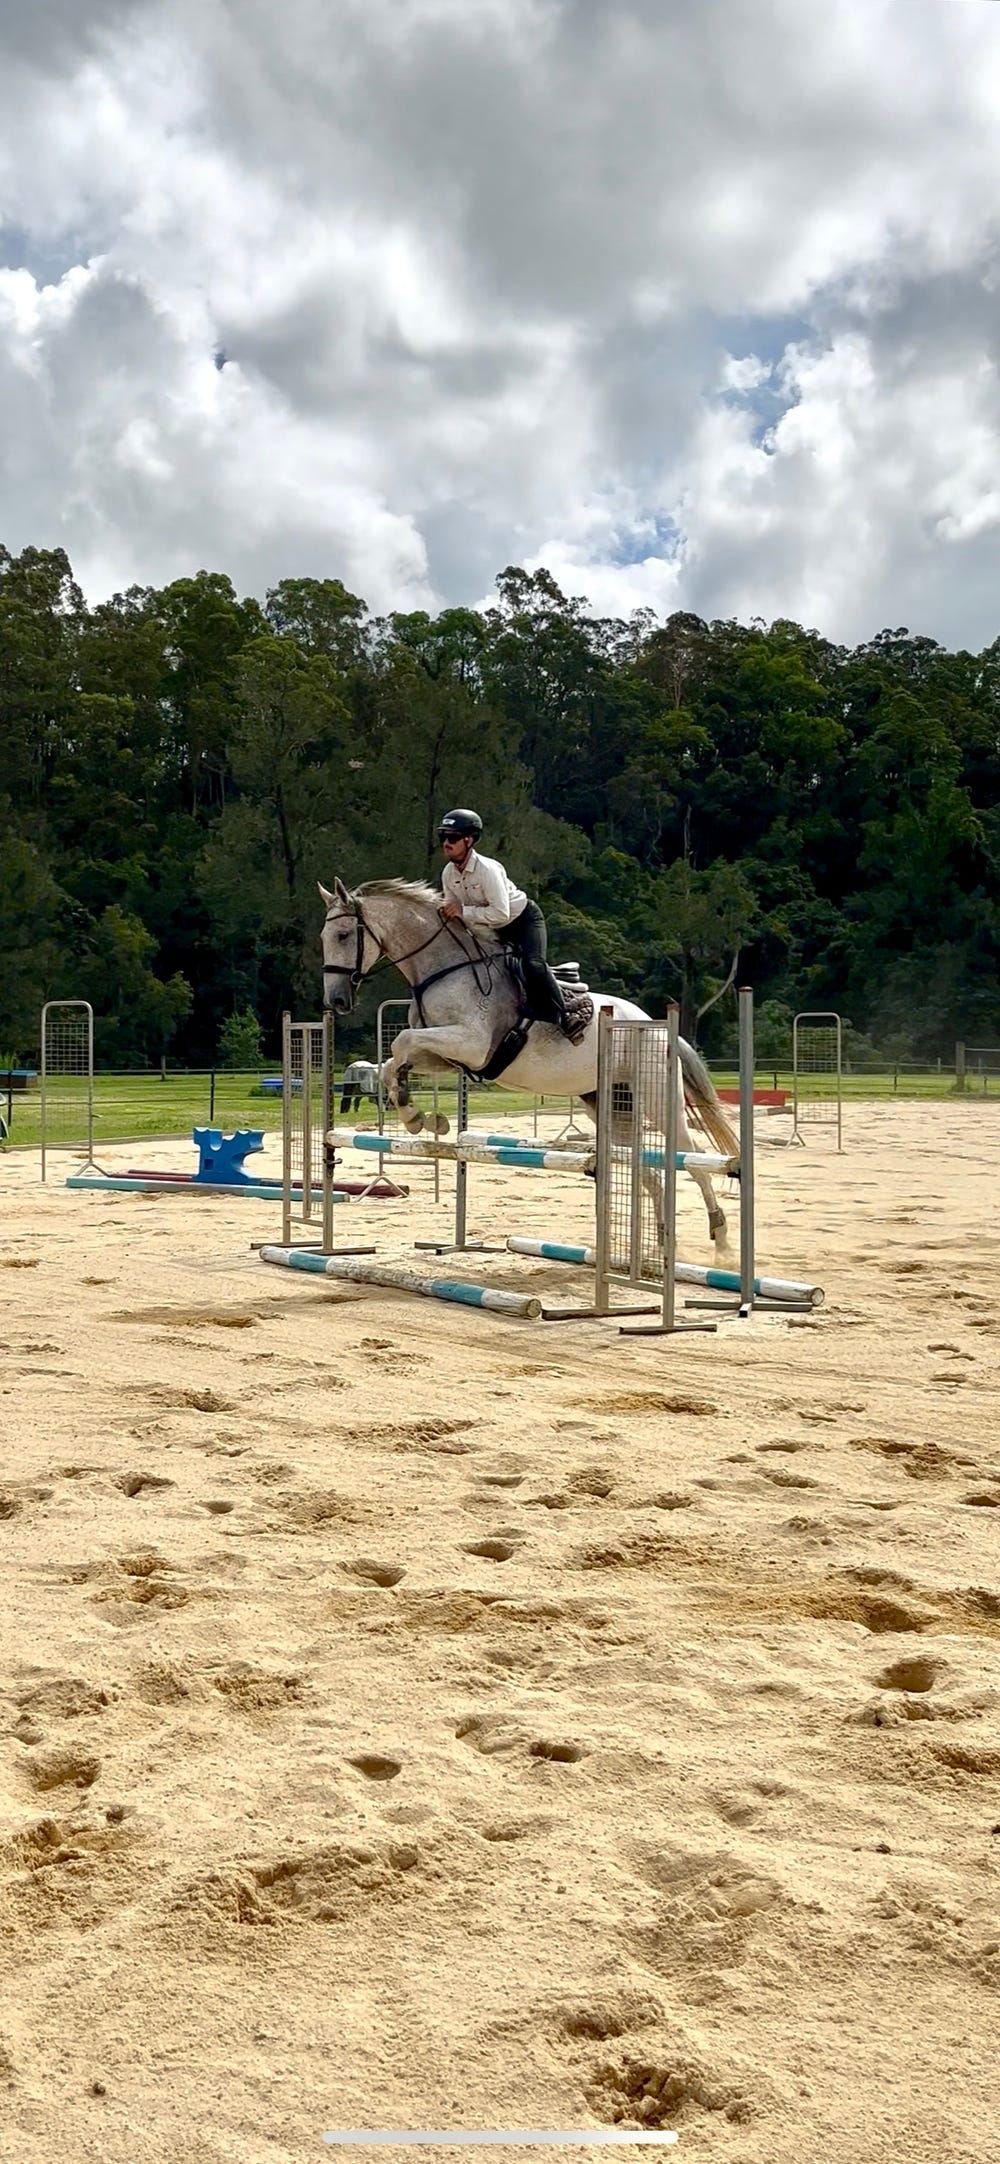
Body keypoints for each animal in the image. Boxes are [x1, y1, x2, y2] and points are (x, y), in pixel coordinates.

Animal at [319, 876, 740, 1241]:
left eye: (343, 935)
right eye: (324, 938)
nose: (335, 1001)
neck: (442, 968)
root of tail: (656, 1026)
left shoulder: (471, 1044)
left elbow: (401, 1043)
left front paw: (420, 1117)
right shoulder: (449, 1055)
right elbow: (395, 1062)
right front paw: (420, 1117)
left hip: (656, 1097)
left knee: (693, 1156)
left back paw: (718, 1235)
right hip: (612, 1103)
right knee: (646, 1169)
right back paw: (660, 1242)